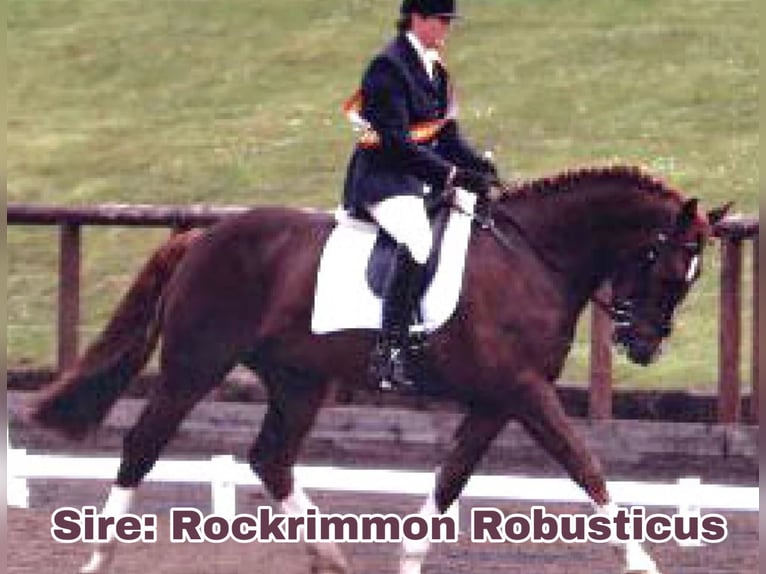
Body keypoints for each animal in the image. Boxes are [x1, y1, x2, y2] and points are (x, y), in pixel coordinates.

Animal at [27, 164, 728, 572]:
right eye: (669, 269)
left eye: (691, 279)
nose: (644, 345)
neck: (533, 256)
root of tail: (203, 237)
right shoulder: (524, 392)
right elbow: (587, 470)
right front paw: (644, 564)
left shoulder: (498, 400)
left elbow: (447, 486)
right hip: (193, 367)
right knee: (142, 445)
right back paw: (99, 557)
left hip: (300, 381)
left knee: (270, 460)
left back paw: (332, 558)